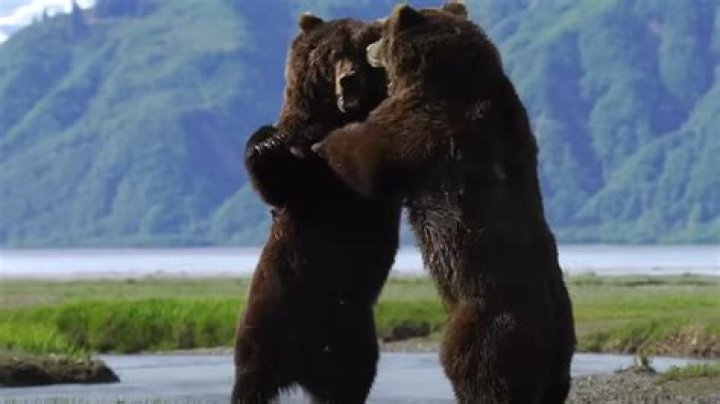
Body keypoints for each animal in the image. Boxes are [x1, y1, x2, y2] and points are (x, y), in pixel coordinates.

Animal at [231, 14, 401, 404]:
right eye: (332, 54)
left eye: (363, 51)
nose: (348, 78)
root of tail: (302, 368)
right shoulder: (303, 181)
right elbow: (278, 182)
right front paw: (266, 144)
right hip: (268, 313)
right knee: (250, 374)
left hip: (352, 335)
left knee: (352, 380)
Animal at [313, 3, 576, 403]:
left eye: (383, 30)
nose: (370, 47)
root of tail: (548, 335)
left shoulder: (424, 124)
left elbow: (371, 155)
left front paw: (324, 142)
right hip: (561, 346)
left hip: (486, 321)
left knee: (475, 368)